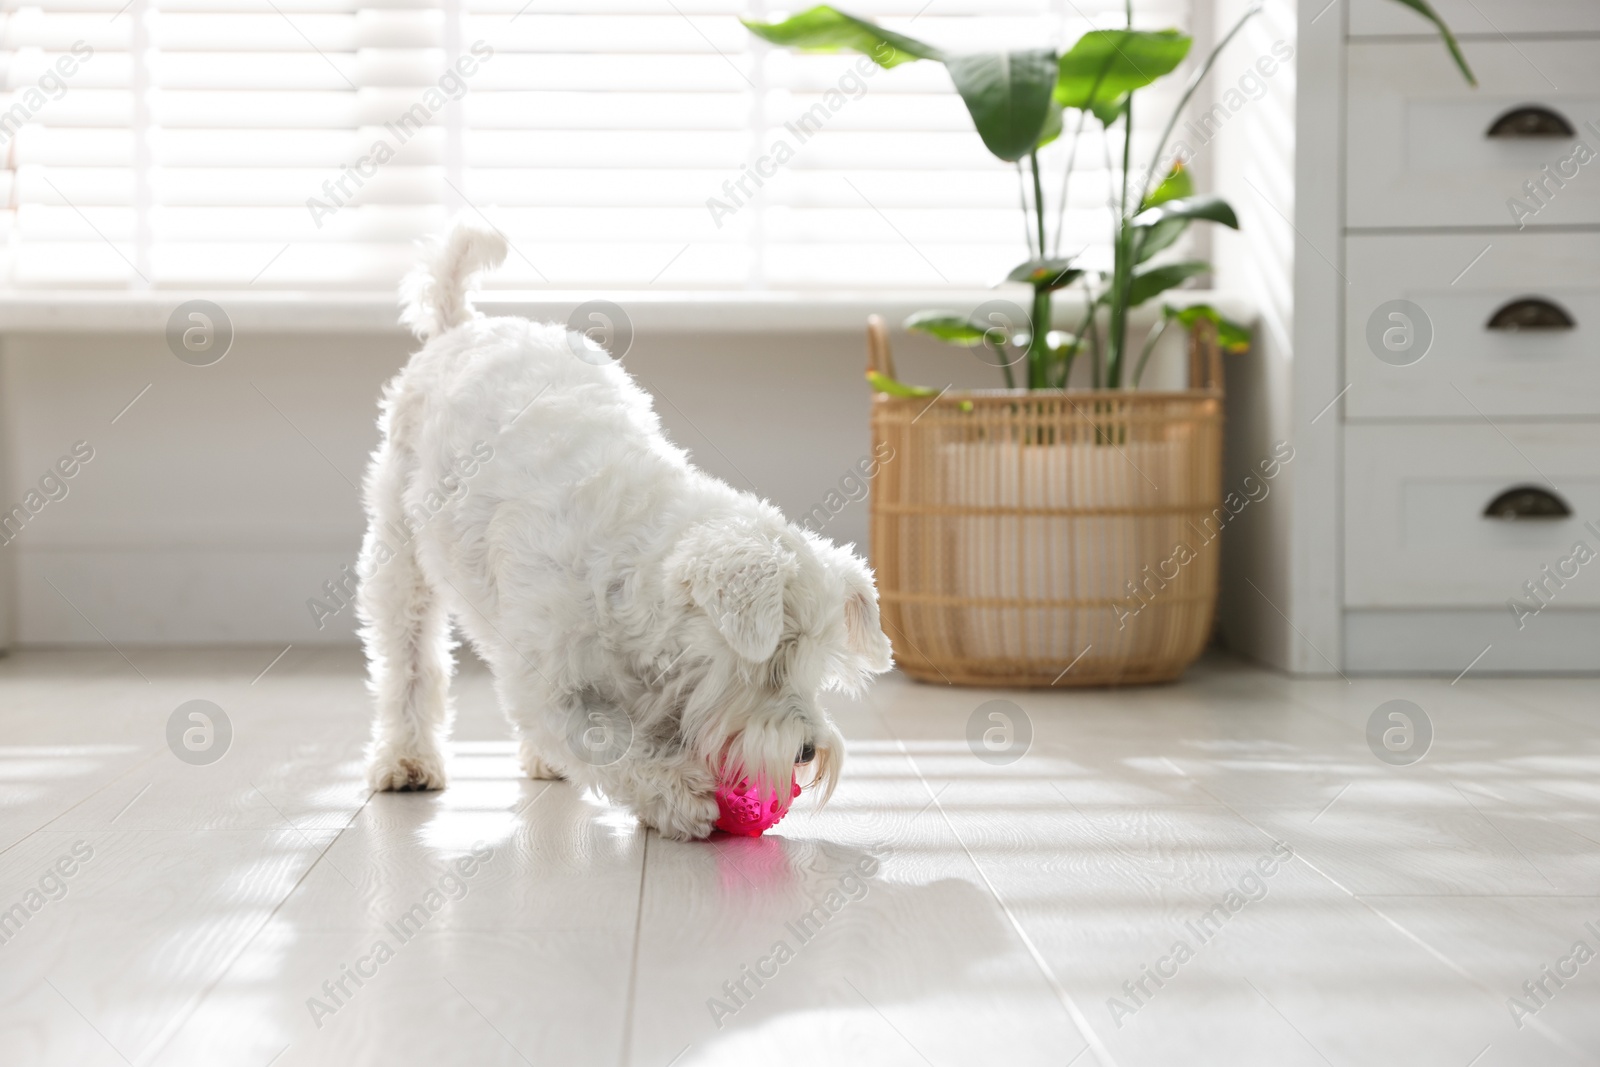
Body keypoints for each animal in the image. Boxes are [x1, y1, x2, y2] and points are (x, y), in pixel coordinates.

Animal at [355, 223, 896, 844]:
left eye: (817, 667)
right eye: (772, 665)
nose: (808, 750)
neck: (634, 574)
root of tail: (461, 325)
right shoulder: (548, 685)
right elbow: (605, 741)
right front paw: (679, 793)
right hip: (399, 561)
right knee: (409, 662)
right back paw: (407, 759)